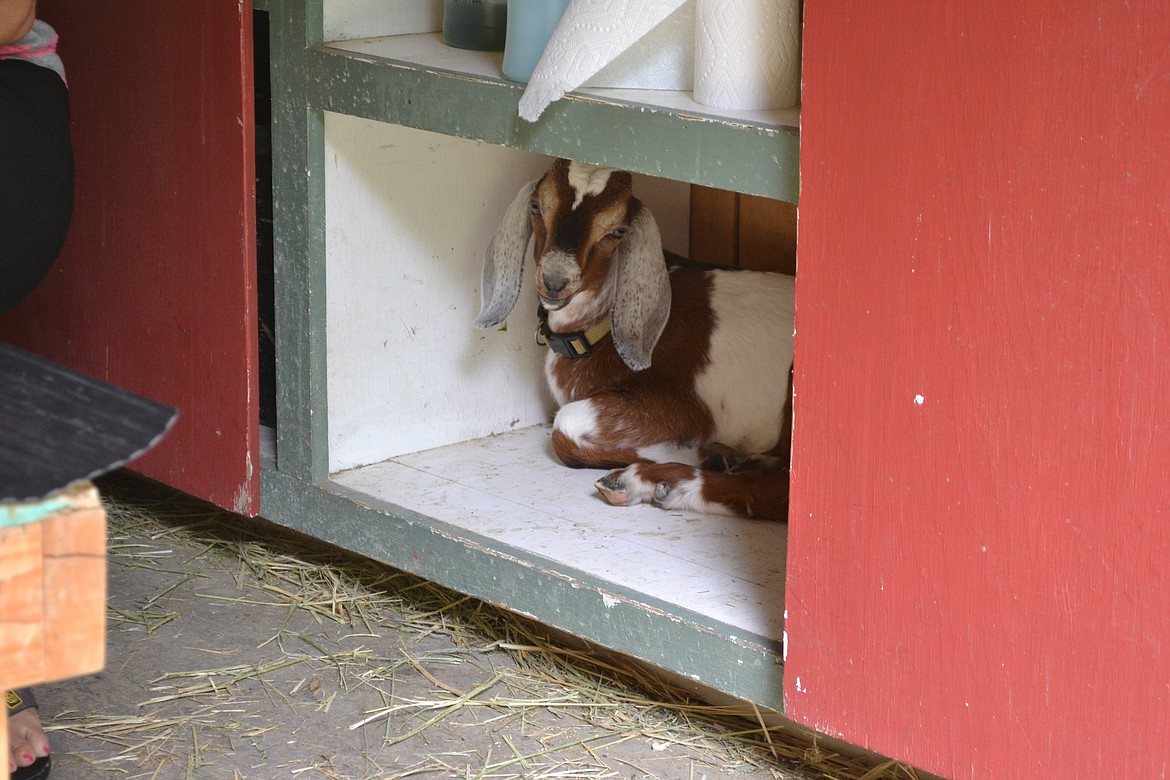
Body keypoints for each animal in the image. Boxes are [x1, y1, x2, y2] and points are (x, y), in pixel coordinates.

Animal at [475, 156, 795, 523]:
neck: (601, 326)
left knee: (780, 492)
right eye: (536, 207)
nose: (556, 281)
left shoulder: (684, 406)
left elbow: (565, 425)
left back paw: (653, 482)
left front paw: (698, 451)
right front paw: (717, 454)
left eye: (617, 231)